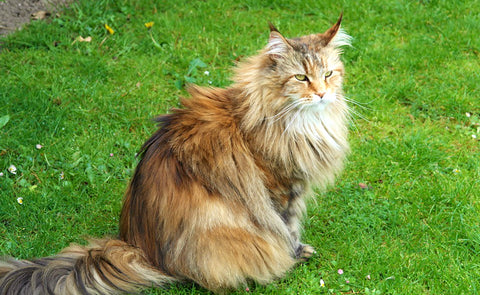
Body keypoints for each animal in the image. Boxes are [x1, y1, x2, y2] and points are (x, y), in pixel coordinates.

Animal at [0, 14, 352, 295]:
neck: (297, 123)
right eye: (301, 77)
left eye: (329, 74)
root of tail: (138, 246)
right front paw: (295, 255)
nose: (322, 93)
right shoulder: (281, 190)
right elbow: (286, 229)